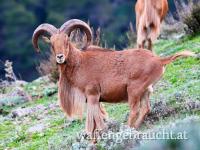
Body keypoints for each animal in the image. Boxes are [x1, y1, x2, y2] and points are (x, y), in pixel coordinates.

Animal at [32, 19, 195, 135]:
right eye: (52, 44)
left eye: (67, 40)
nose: (60, 57)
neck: (80, 63)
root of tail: (159, 60)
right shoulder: (95, 101)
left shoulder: (92, 96)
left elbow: (94, 124)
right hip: (146, 91)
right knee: (145, 109)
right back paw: (134, 128)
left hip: (134, 90)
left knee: (135, 110)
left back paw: (127, 130)